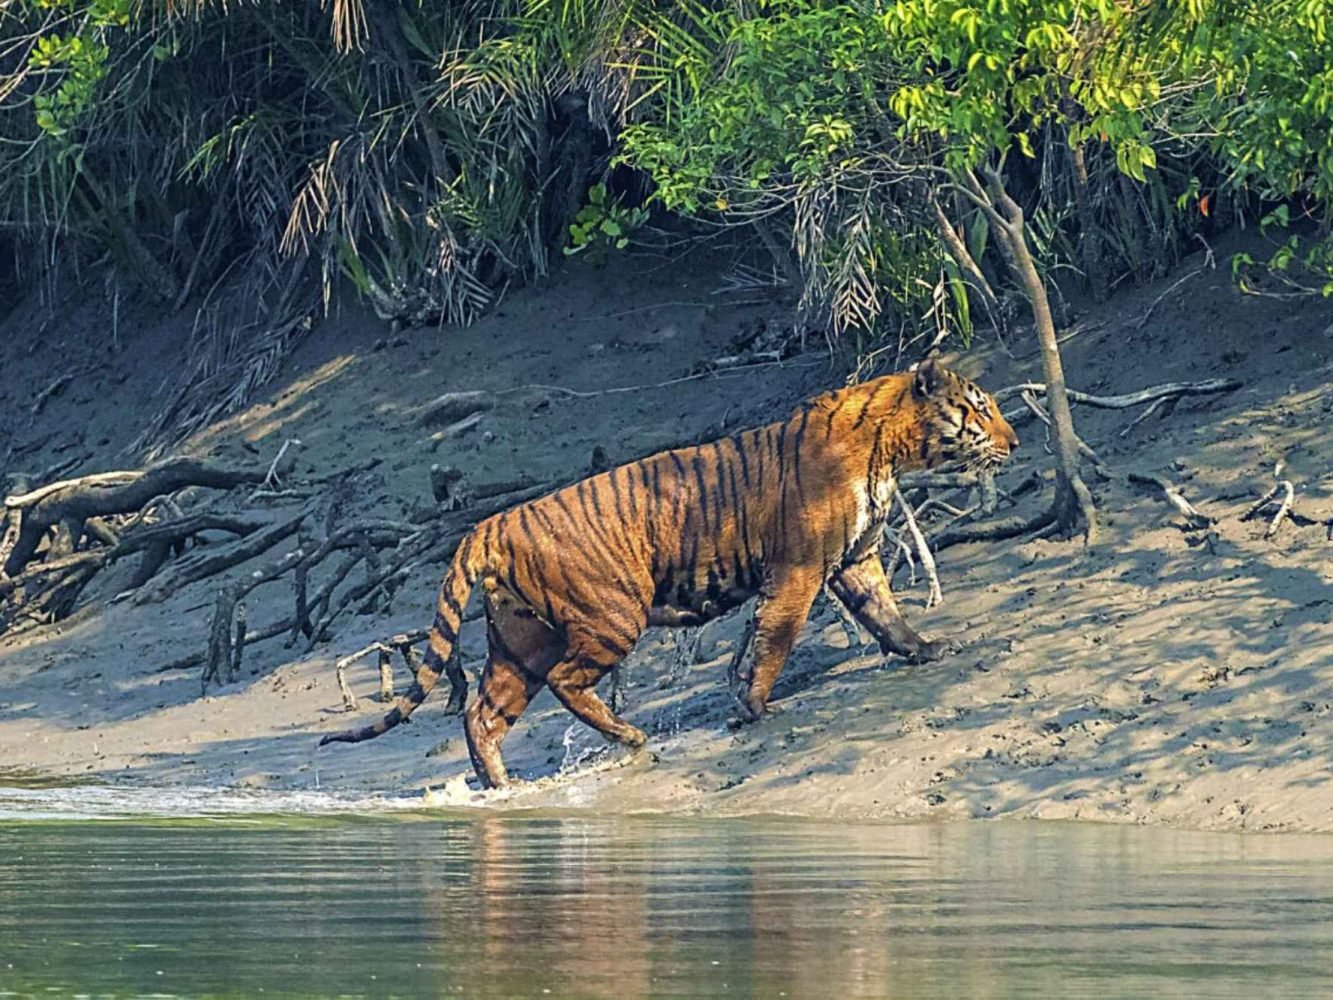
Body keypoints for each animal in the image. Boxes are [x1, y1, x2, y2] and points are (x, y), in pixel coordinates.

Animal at [319, 360, 1018, 789]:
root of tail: (489, 524)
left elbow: (884, 612)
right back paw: (630, 737)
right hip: (610, 616)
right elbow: (775, 639)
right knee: (566, 683)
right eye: (980, 410)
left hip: (520, 641)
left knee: (483, 713)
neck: (887, 450)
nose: (1013, 443)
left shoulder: (855, 558)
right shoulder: (798, 570)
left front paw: (925, 648)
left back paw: (501, 785)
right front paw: (752, 707)